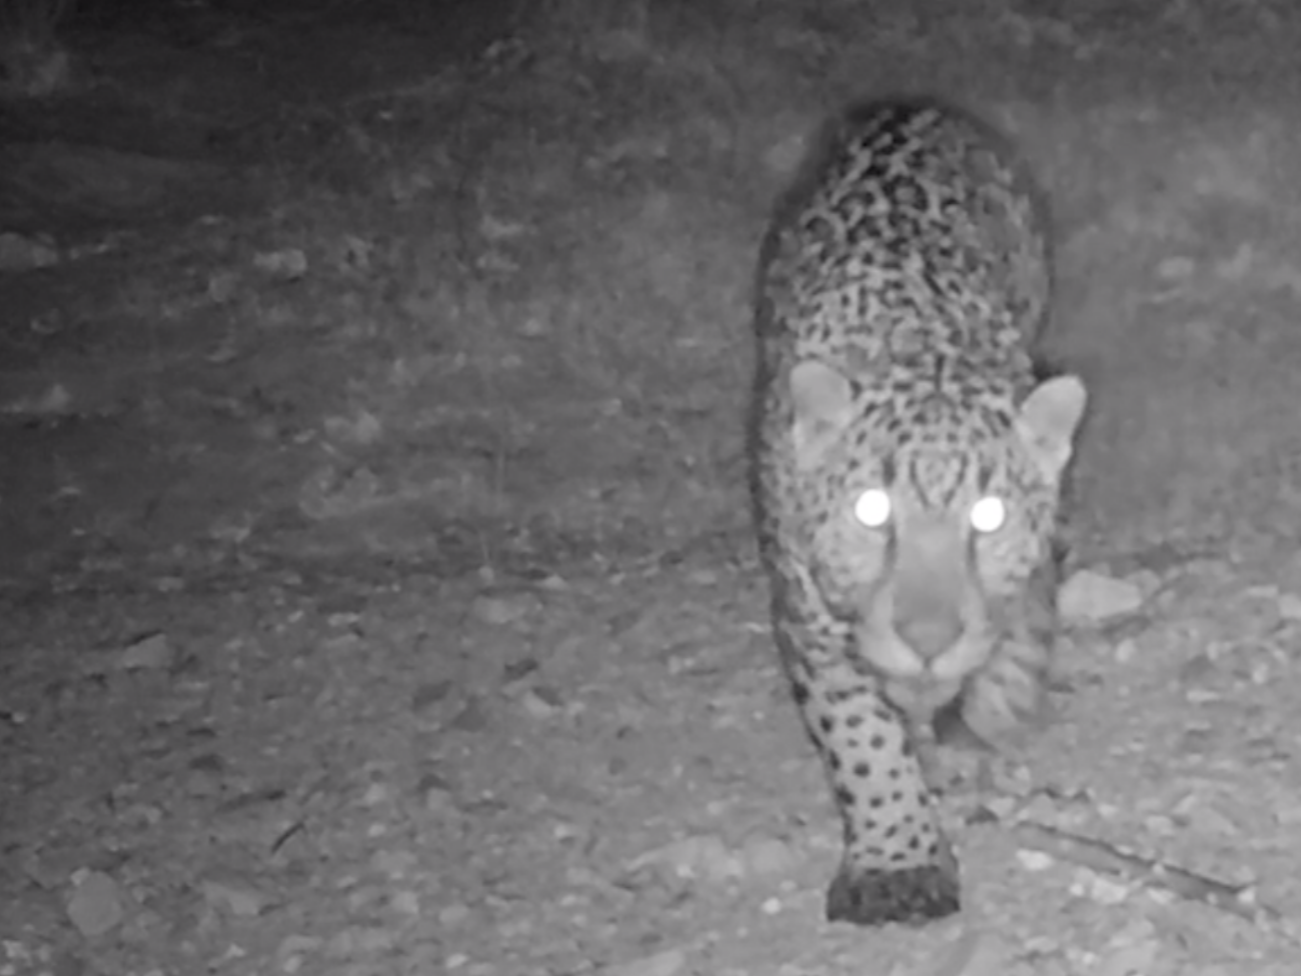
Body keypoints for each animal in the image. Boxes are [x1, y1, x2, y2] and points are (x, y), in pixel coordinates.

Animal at [748, 97, 1088, 926]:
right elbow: (860, 735)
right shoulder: (808, 611)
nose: (926, 640)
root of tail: (908, 104)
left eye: (989, 518)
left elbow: (1019, 620)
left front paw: (992, 704)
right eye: (871, 512)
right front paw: (895, 863)